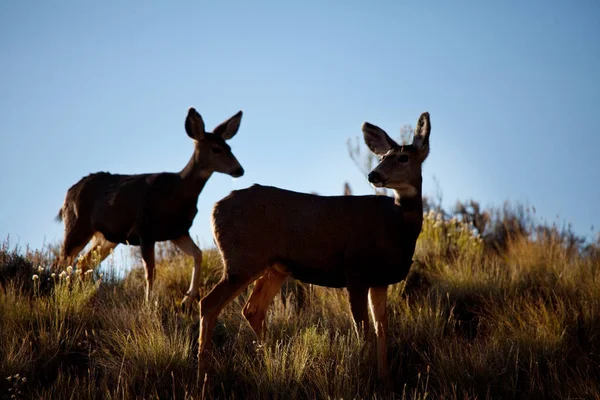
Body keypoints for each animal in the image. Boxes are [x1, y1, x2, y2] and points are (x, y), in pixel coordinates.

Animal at [55, 106, 244, 304]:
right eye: (216, 149)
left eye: (229, 147)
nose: (239, 170)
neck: (178, 191)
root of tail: (69, 193)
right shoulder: (145, 229)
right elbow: (150, 272)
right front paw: (148, 304)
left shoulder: (177, 231)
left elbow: (198, 254)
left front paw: (187, 298)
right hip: (77, 224)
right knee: (63, 261)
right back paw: (62, 296)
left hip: (107, 237)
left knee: (83, 262)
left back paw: (84, 296)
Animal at [200, 111, 432, 378]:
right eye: (383, 157)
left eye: (403, 157)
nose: (373, 174)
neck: (398, 227)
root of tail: (215, 208)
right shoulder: (355, 271)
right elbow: (363, 333)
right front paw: (363, 376)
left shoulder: (380, 279)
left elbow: (381, 330)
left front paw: (384, 379)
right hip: (241, 259)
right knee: (208, 303)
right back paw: (204, 375)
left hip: (274, 267)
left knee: (252, 309)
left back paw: (270, 362)